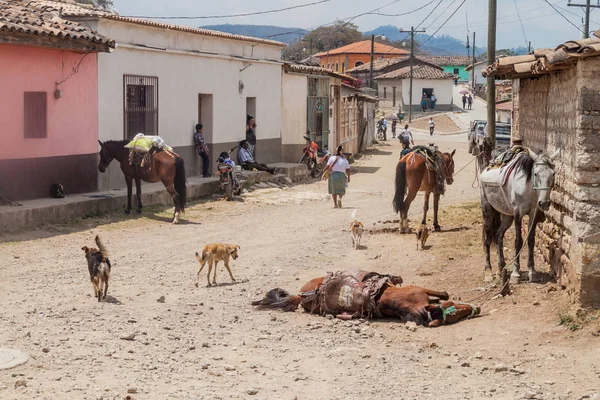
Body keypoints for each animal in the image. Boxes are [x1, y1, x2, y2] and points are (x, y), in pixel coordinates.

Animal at [478, 148, 564, 284]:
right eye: (536, 174)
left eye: (553, 174)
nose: (544, 203)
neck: (528, 188)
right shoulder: (518, 213)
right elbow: (518, 241)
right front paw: (515, 273)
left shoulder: (533, 213)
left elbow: (531, 240)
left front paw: (532, 272)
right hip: (487, 210)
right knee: (487, 239)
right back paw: (488, 272)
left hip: (507, 216)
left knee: (498, 235)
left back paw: (501, 268)